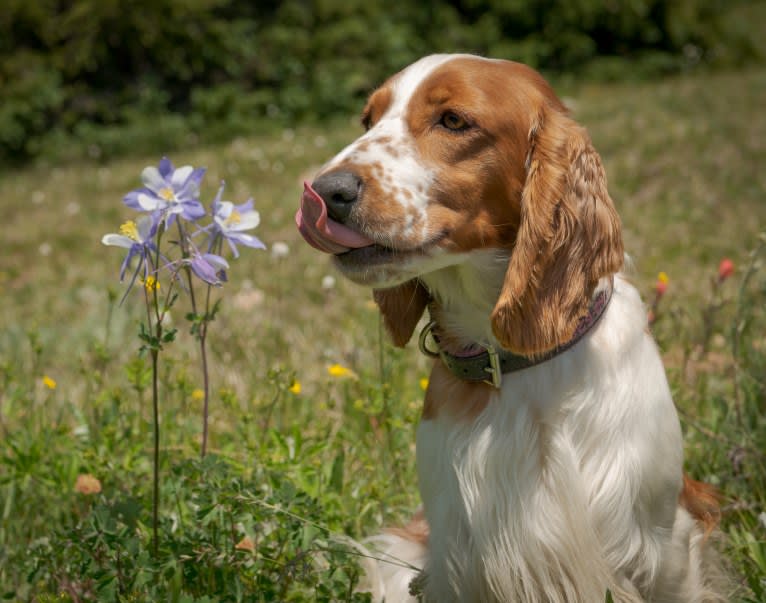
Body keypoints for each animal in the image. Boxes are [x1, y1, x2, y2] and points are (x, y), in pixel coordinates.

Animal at [296, 54, 728, 600]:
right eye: (367, 121)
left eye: (453, 120)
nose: (326, 191)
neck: (517, 358)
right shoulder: (456, 557)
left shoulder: (664, 546)